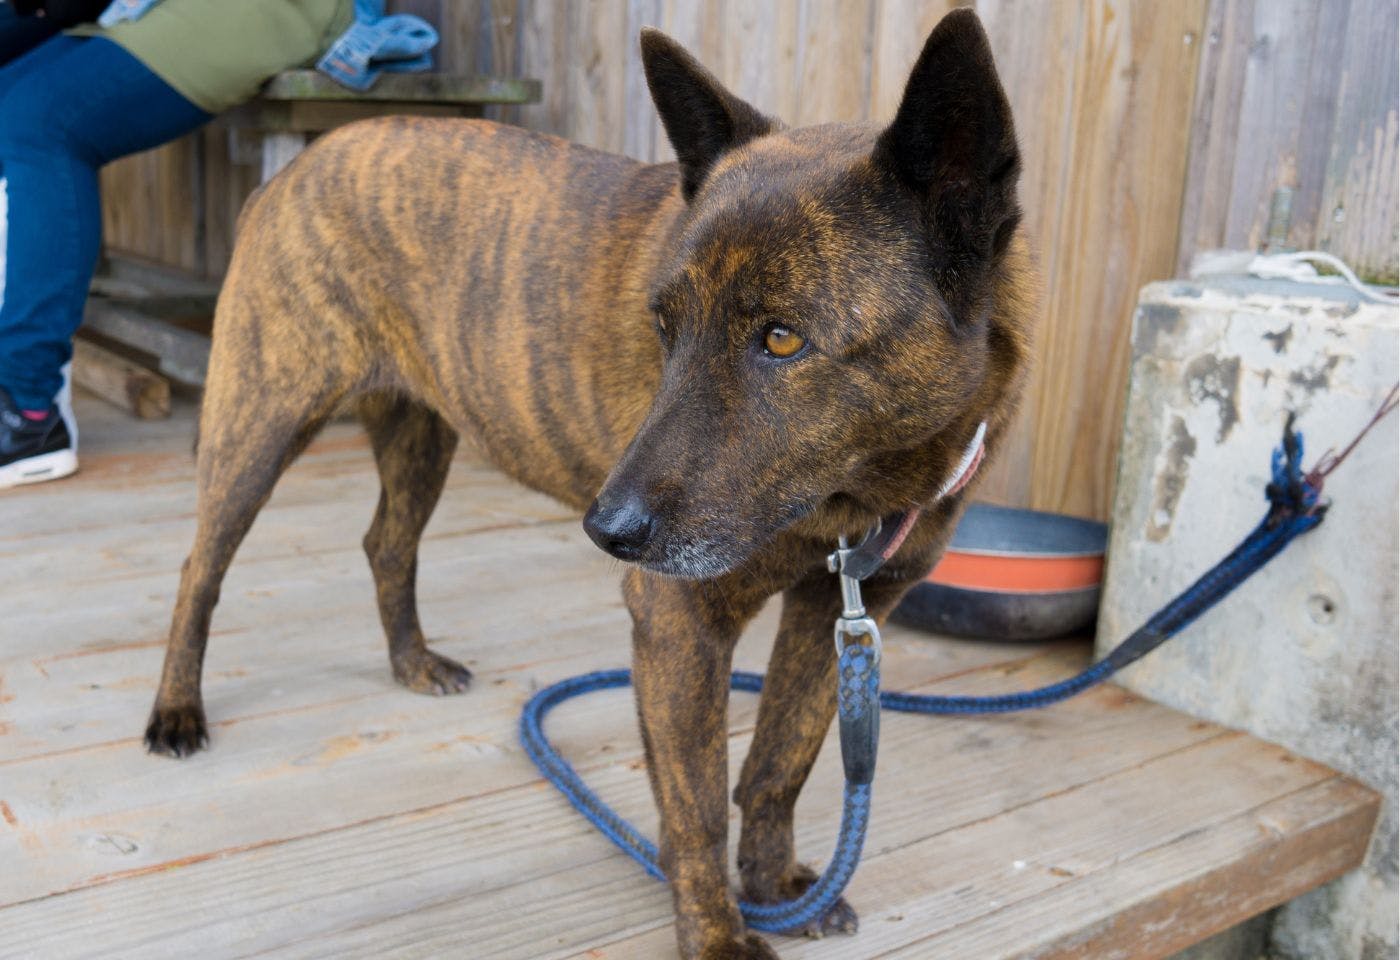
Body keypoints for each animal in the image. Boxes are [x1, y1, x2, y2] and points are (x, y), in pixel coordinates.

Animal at [147, 9, 1030, 960]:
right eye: (663, 325)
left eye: (783, 339)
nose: (608, 532)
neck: (859, 491)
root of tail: (296, 171)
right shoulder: (680, 620)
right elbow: (695, 805)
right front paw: (719, 935)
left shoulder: (839, 610)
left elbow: (778, 763)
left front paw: (772, 885)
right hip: (262, 420)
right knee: (200, 569)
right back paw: (176, 712)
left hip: (423, 434)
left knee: (385, 542)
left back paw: (412, 660)